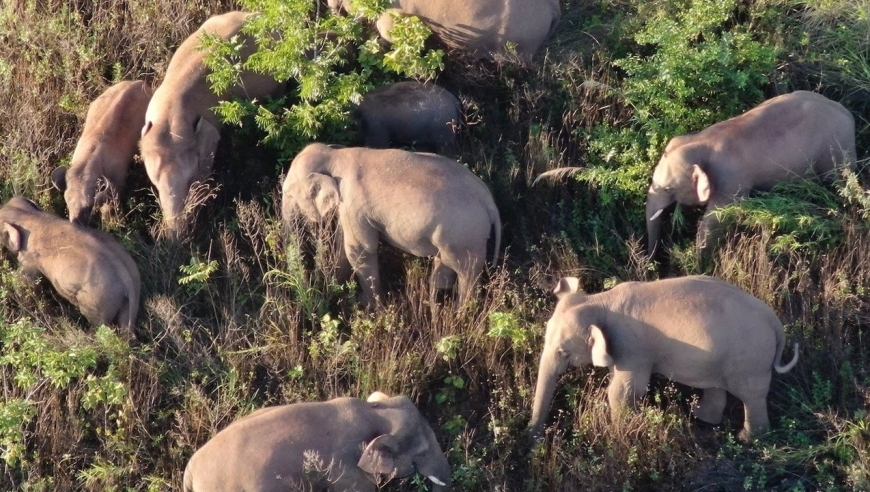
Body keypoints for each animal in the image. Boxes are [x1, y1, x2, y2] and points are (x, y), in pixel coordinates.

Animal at [0, 197, 141, 340]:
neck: (28, 216)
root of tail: (128, 283)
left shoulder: (29, 258)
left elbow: (27, 283)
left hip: (98, 301)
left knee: (99, 324)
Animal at [51, 80, 152, 226]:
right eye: (68, 202)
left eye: (88, 206)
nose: (76, 222)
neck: (90, 156)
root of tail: (139, 82)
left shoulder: (117, 186)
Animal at [281, 143, 501, 308]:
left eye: (289, 195)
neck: (335, 154)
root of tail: (490, 202)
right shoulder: (347, 208)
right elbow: (343, 244)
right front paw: (338, 287)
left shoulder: (354, 205)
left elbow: (360, 250)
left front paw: (368, 306)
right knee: (445, 265)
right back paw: (436, 302)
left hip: (465, 237)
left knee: (467, 274)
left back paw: (460, 313)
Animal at [528, 275, 799, 441]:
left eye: (564, 352)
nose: (533, 437)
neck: (600, 301)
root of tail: (776, 324)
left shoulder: (632, 347)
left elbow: (624, 391)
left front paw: (621, 431)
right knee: (716, 386)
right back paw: (702, 419)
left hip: (750, 359)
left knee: (751, 395)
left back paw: (747, 439)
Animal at [646, 90, 856, 257]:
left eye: (668, 189)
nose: (655, 262)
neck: (700, 141)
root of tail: (847, 113)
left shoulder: (731, 179)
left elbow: (716, 219)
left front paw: (700, 263)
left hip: (837, 151)